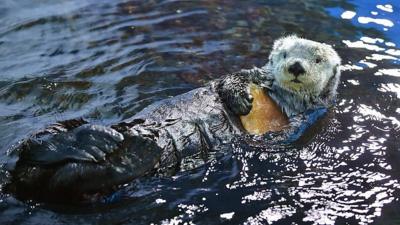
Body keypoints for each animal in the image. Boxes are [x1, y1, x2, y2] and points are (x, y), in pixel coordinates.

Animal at [3, 36, 340, 202]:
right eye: (283, 54)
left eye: (317, 59)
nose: (295, 66)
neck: (278, 95)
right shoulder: (253, 75)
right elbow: (228, 80)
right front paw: (241, 99)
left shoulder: (303, 120)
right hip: (61, 137)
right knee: (37, 147)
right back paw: (85, 141)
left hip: (99, 185)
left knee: (68, 181)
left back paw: (131, 152)